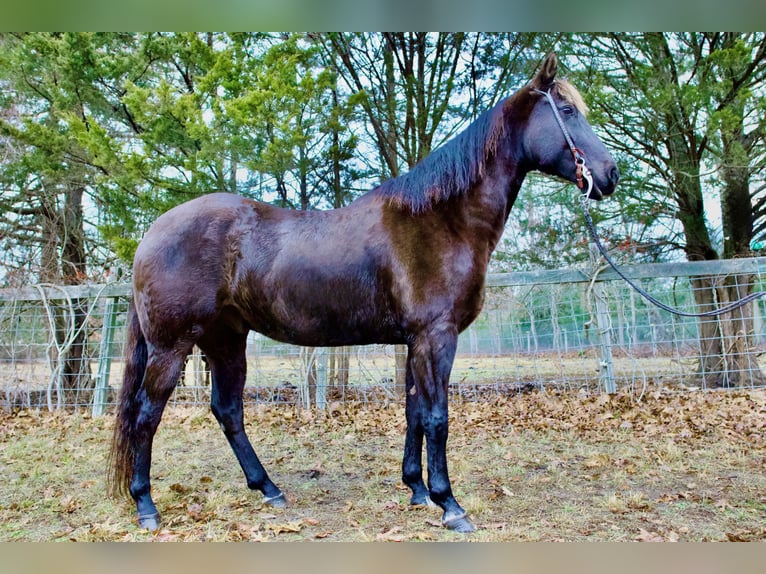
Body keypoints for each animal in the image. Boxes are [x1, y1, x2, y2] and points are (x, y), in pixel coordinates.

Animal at [108, 52, 619, 534]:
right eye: (567, 110)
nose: (610, 174)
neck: (444, 220)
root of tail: (151, 234)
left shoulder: (415, 342)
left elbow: (415, 412)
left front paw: (417, 491)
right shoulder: (436, 337)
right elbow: (437, 417)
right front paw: (450, 506)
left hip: (226, 340)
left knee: (228, 411)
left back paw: (269, 489)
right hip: (172, 347)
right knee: (146, 415)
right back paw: (147, 506)